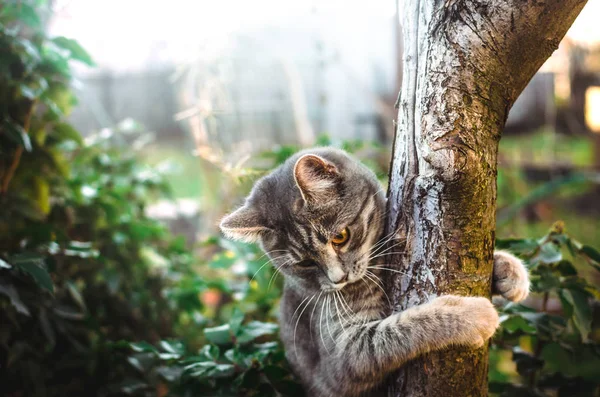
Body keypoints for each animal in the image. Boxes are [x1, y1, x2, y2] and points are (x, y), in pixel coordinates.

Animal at [219, 147, 524, 396]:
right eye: (305, 263)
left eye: (340, 237)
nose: (338, 279)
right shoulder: (341, 357)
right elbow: (395, 332)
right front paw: (467, 315)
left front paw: (508, 271)